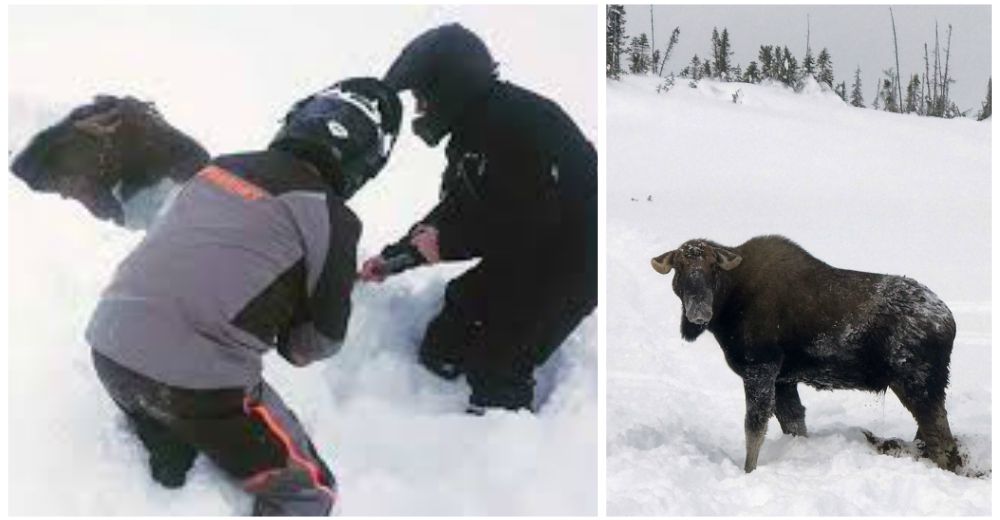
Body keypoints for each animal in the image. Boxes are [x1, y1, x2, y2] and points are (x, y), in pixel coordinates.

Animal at [648, 237, 960, 476]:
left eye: (713, 267)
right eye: (679, 267)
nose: (699, 311)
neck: (729, 306)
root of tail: (949, 322)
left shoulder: (760, 368)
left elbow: (754, 427)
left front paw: (748, 472)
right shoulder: (784, 380)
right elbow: (794, 424)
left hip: (917, 383)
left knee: (943, 442)